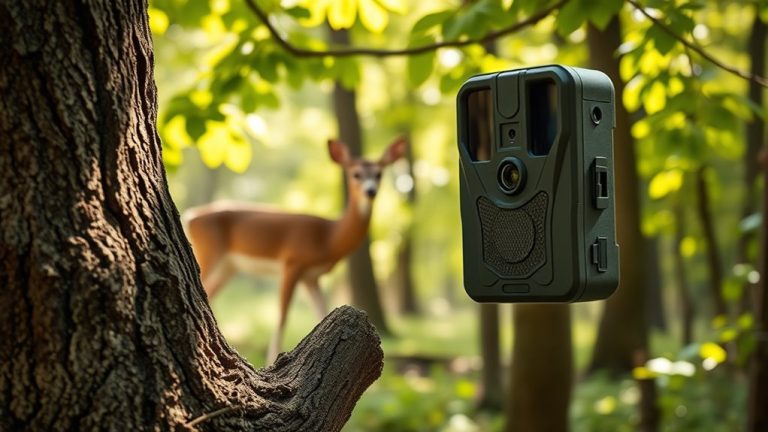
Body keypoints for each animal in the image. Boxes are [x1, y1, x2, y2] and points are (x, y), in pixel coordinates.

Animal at [184, 137, 407, 363]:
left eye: (379, 174)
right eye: (356, 174)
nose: (370, 191)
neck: (328, 237)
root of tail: (189, 216)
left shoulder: (311, 277)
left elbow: (321, 313)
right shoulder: (292, 261)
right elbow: (282, 317)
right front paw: (271, 361)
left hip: (228, 267)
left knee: (208, 293)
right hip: (209, 252)